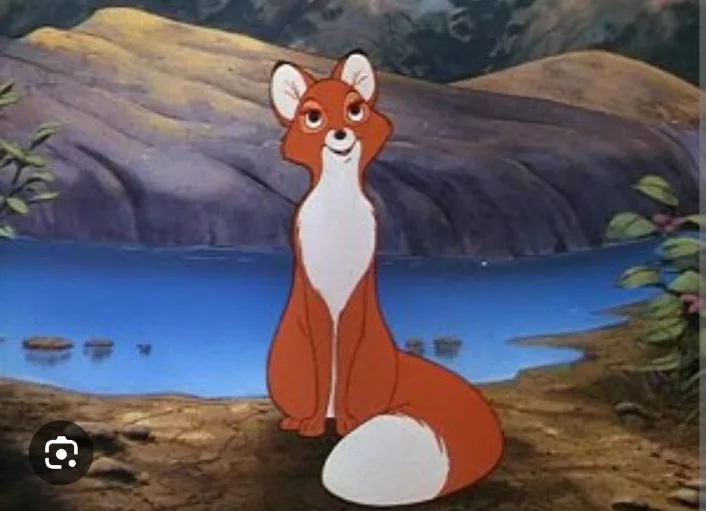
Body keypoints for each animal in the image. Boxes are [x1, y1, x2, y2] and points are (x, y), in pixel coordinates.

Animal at [266, 50, 505, 507]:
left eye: (355, 109)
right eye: (313, 117)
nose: (341, 133)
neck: (337, 214)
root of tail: (399, 362)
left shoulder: (355, 295)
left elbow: (341, 375)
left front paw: (343, 426)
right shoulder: (316, 298)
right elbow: (323, 368)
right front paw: (313, 428)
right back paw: (301, 421)